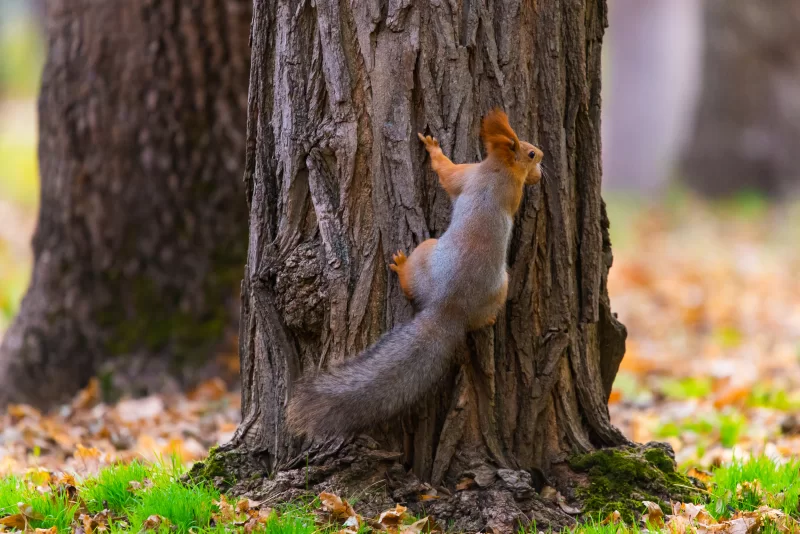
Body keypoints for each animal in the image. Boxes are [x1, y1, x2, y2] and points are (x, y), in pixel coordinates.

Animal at [286, 109, 544, 438]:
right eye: (530, 152)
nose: (543, 155)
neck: (500, 169)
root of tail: (449, 307)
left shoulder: (470, 176)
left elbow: (446, 174)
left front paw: (432, 147)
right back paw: (487, 319)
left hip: (426, 251)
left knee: (412, 281)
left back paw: (400, 266)